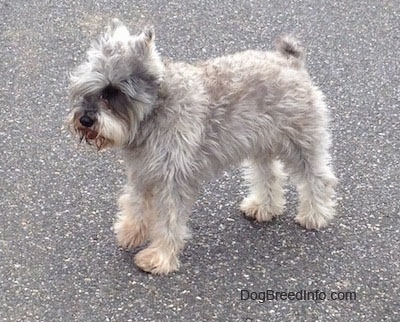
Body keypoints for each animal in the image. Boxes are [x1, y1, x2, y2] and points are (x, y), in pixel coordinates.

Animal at [66, 18, 338, 274]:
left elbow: (169, 220)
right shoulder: (142, 172)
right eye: (85, 88)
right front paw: (132, 231)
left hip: (300, 143)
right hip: (260, 144)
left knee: (317, 177)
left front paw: (159, 257)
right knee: (269, 175)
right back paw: (264, 207)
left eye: (113, 91)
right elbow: (135, 203)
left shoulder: (172, 180)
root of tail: (291, 62)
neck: (155, 109)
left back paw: (315, 214)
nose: (85, 119)